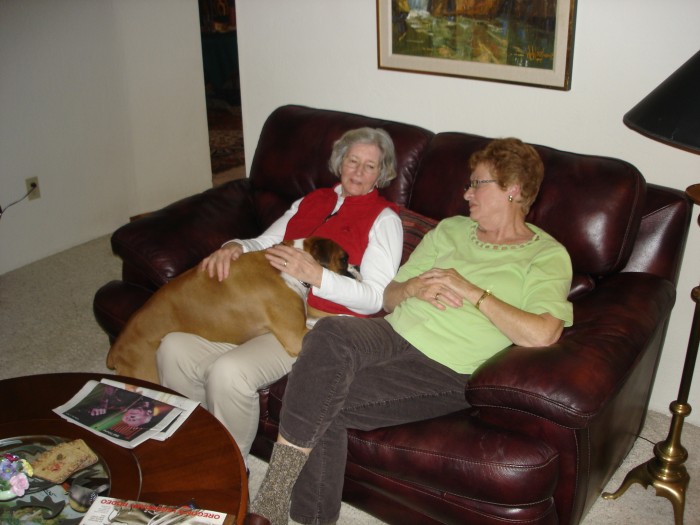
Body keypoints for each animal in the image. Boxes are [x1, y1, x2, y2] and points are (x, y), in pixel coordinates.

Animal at [106, 236, 358, 380]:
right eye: (344, 259)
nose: (356, 269)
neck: (286, 266)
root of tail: (116, 348)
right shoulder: (295, 335)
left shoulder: (305, 316)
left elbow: (331, 316)